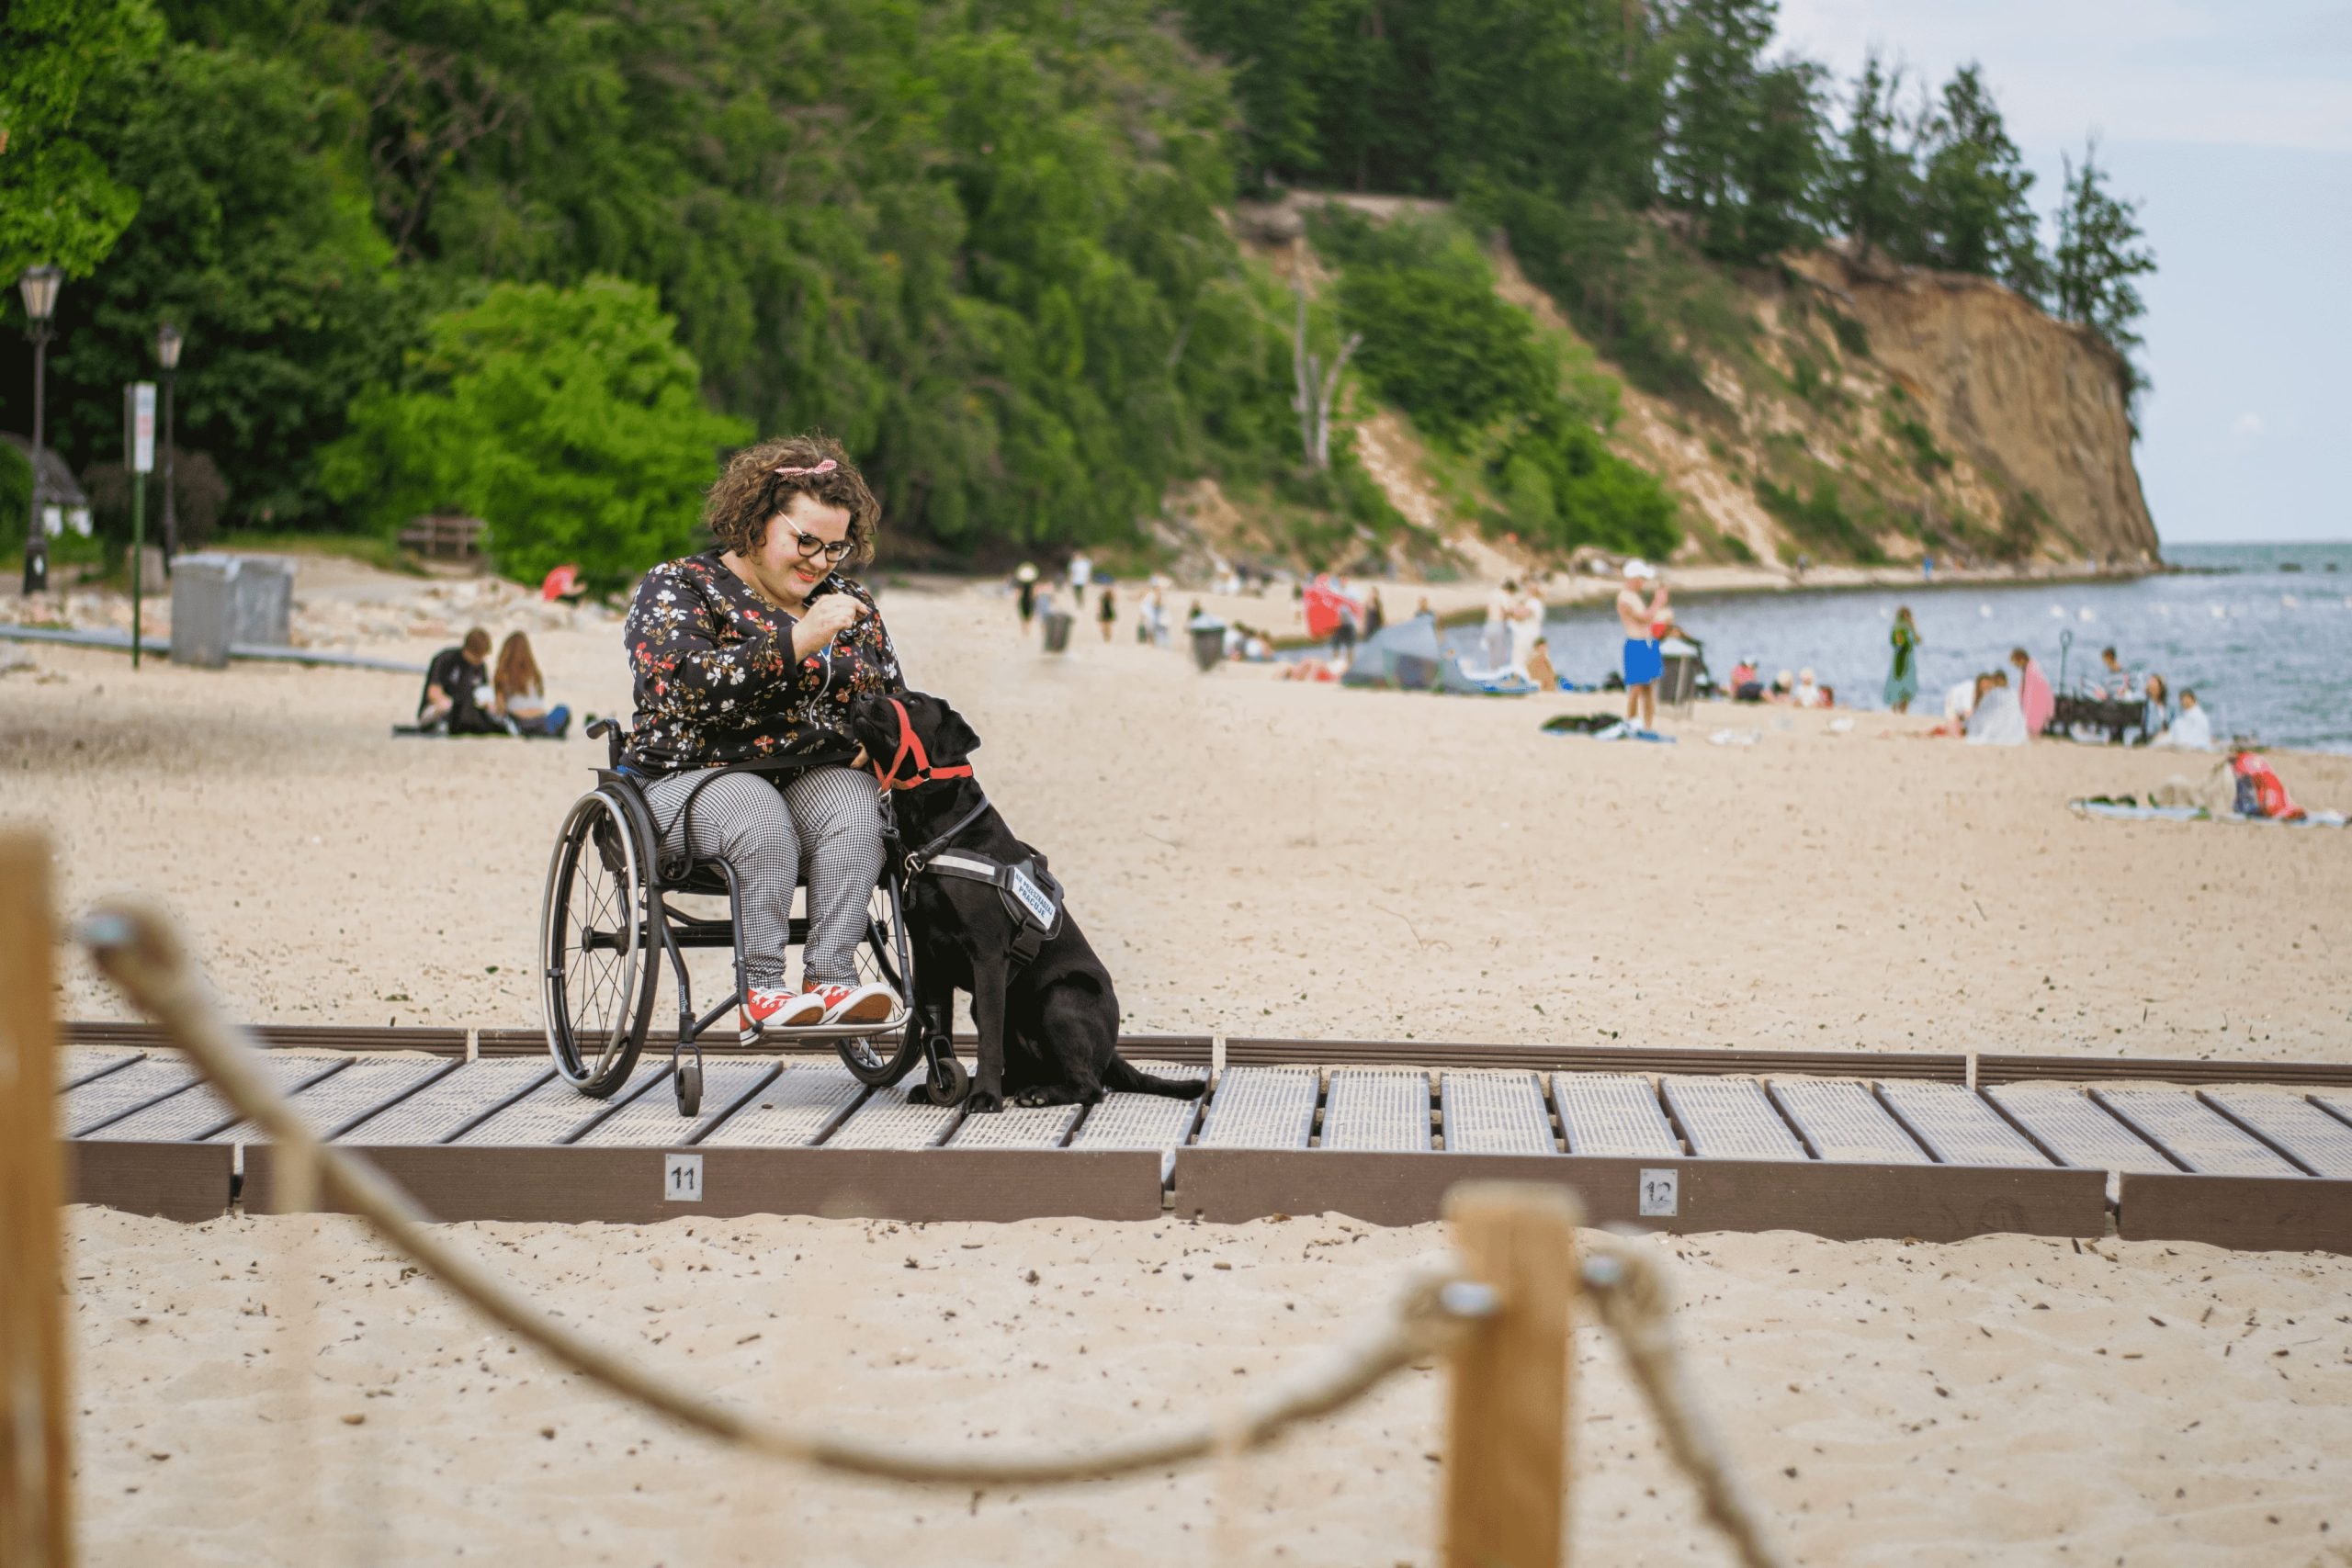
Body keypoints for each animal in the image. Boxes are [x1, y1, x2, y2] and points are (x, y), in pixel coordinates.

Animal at [851, 691, 1204, 1114]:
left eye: (913, 702)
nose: (863, 695)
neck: (940, 835)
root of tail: (1113, 1051)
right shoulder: (928, 954)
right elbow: (938, 1027)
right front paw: (943, 1084)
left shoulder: (988, 955)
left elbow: (987, 1039)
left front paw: (983, 1097)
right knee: (1025, 1070)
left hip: (1060, 998)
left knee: (1090, 1086)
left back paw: (1036, 1093)